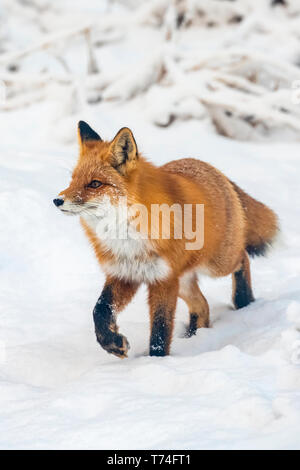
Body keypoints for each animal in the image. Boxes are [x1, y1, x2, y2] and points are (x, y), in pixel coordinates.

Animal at [54, 120, 278, 356]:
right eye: (72, 180)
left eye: (95, 184)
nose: (57, 200)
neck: (127, 239)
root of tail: (214, 170)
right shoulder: (124, 274)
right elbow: (100, 310)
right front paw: (113, 343)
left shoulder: (163, 279)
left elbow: (160, 328)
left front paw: (156, 359)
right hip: (184, 280)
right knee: (202, 305)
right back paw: (193, 335)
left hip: (215, 265)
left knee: (242, 257)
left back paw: (244, 300)